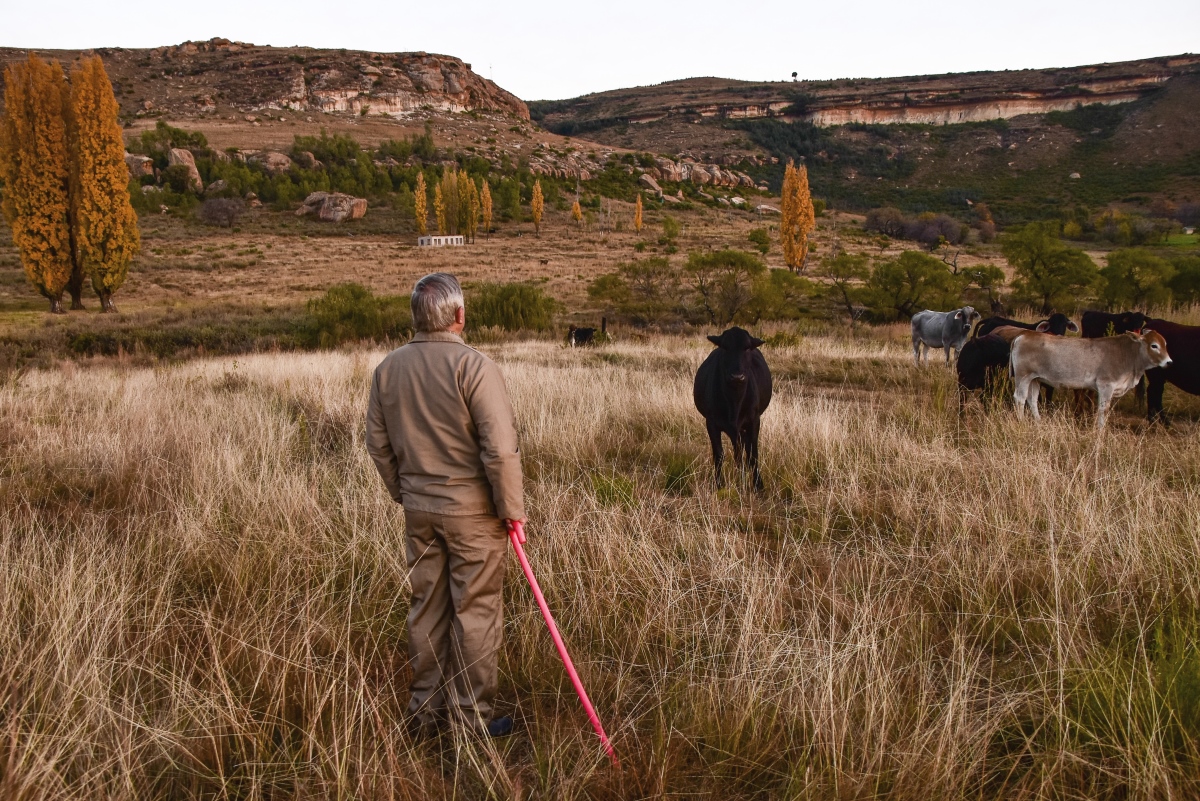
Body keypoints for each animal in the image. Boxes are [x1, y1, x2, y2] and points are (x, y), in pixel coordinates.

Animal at [696, 328, 777, 491]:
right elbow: (719, 455)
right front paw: (719, 485)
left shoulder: (754, 421)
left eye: (747, 348)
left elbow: (753, 455)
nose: (737, 376)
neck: (734, 401)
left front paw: (758, 485)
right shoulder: (711, 423)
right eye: (725, 347)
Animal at [1012, 326, 1171, 429]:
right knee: (1020, 398)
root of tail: (1024, 334)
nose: (1169, 362)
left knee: (1032, 399)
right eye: (1154, 345)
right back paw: (1021, 422)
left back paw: (1039, 422)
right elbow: (1103, 409)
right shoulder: (1106, 386)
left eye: (1165, 344)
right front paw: (1100, 431)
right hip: (1023, 377)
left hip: (1035, 379)